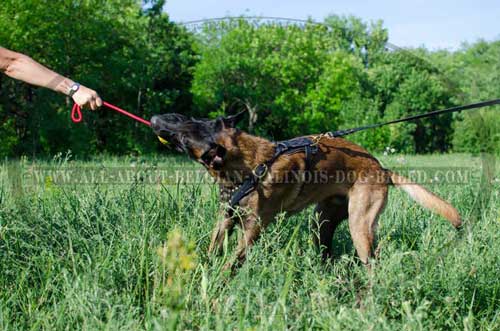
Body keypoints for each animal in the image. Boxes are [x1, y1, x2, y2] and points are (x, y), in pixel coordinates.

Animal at [150, 113, 462, 268]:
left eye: (184, 128)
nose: (153, 118)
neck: (249, 166)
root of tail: (382, 168)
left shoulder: (253, 229)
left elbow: (232, 262)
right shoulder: (226, 220)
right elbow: (211, 249)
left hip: (359, 225)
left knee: (372, 262)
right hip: (321, 221)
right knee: (327, 252)